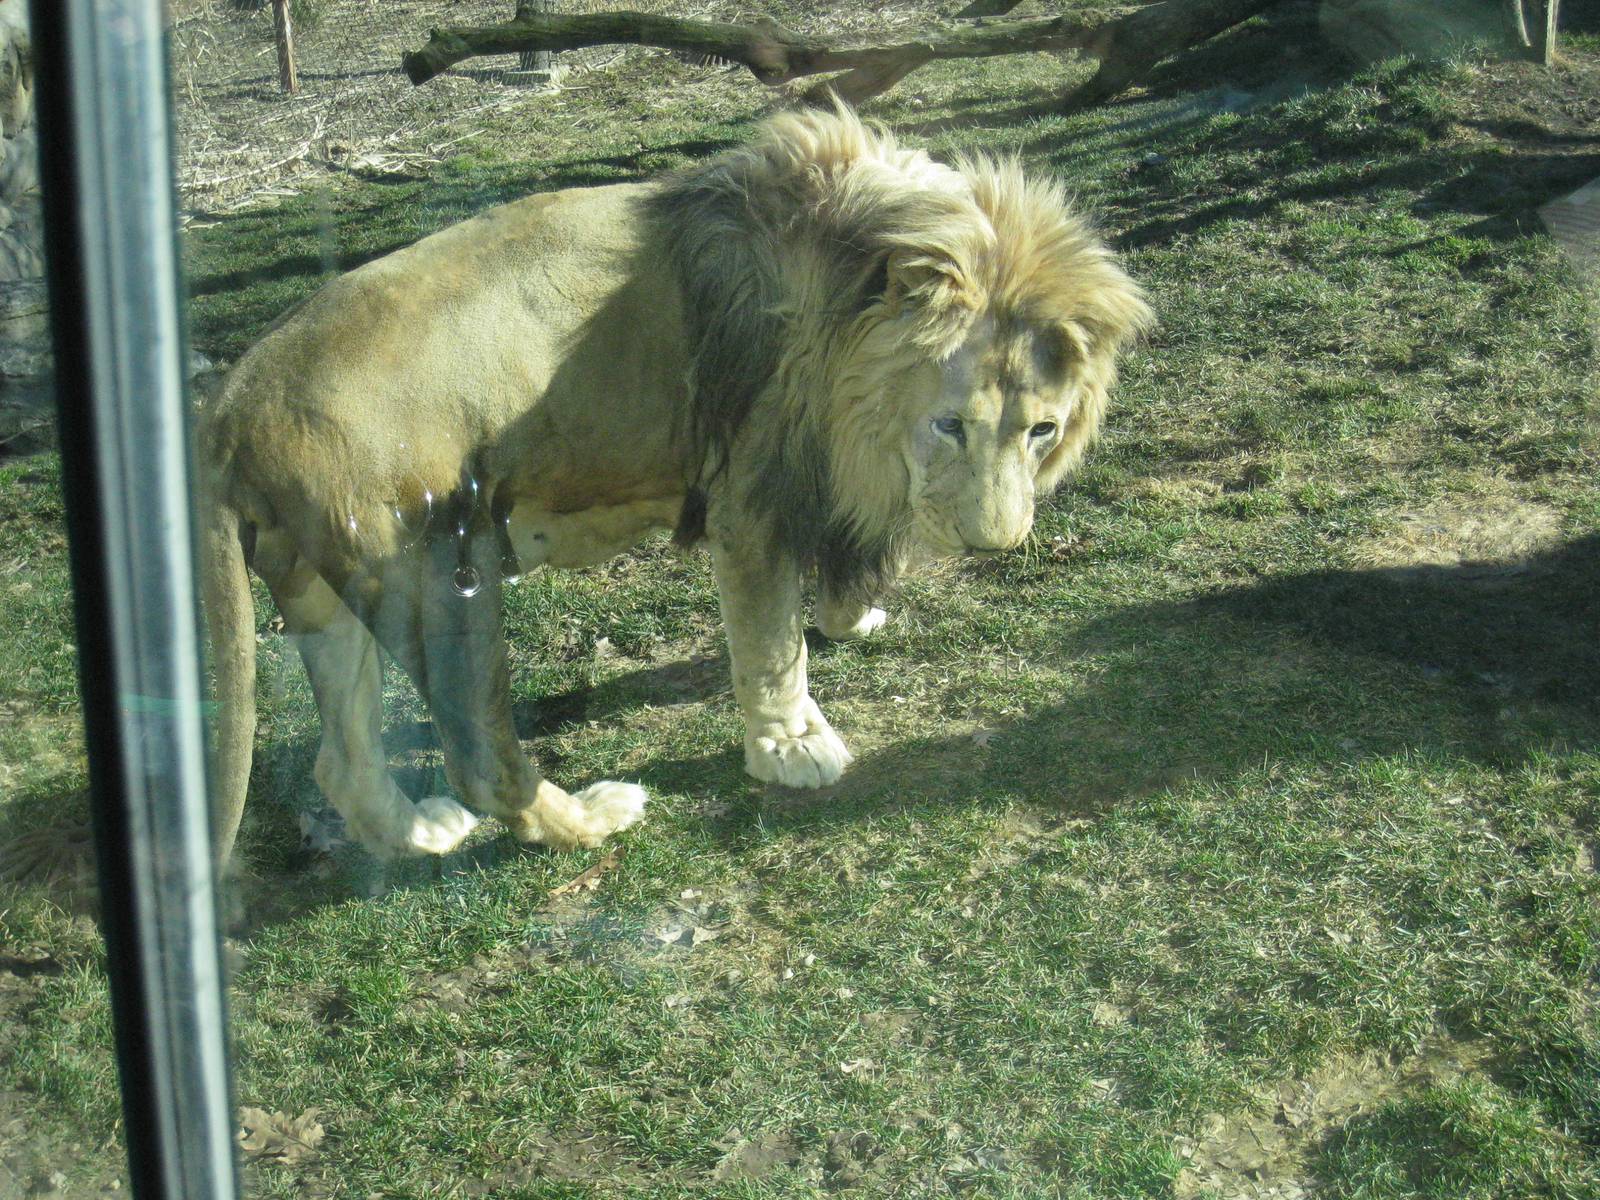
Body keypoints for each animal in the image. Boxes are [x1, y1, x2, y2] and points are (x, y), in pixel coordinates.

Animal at [197, 105, 1152, 863]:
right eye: (952, 423)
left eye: (1042, 430)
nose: (996, 542)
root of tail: (232, 400)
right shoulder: (754, 496)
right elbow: (772, 646)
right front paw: (790, 746)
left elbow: (849, 572)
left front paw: (857, 616)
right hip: (438, 569)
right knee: (480, 758)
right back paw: (589, 818)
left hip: (318, 585)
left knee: (341, 759)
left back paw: (419, 832)